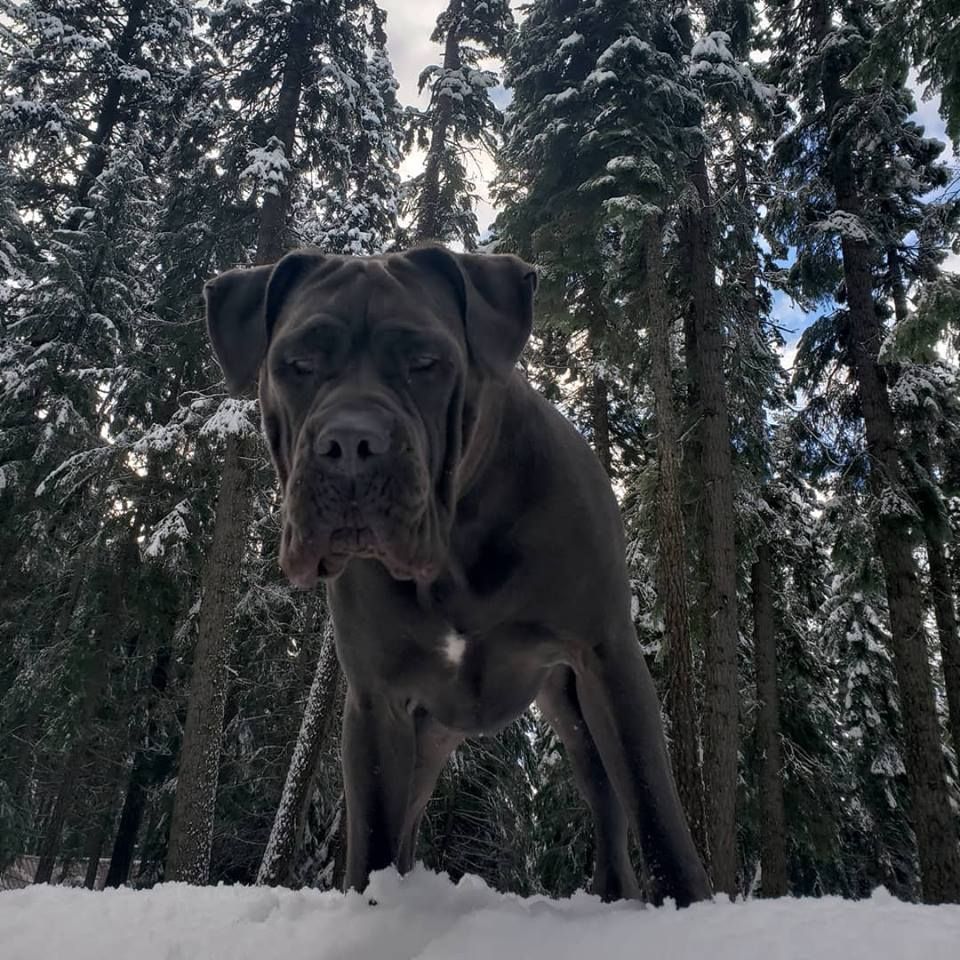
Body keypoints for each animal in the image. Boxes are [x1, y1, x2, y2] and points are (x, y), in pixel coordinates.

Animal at [202, 246, 712, 908]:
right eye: (298, 363)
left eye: (426, 363)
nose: (350, 441)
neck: (450, 550)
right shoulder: (377, 704)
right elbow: (373, 835)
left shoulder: (607, 655)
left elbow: (653, 802)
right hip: (426, 744)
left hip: (575, 714)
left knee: (609, 806)